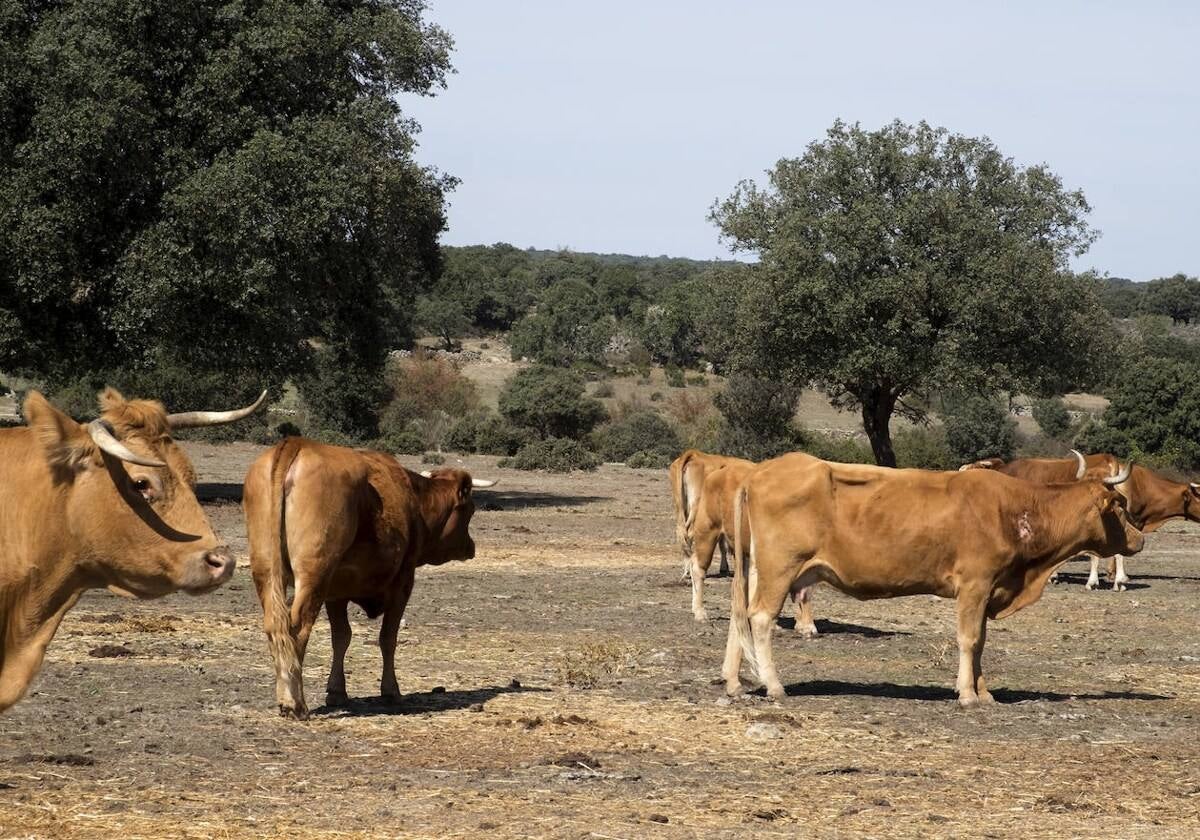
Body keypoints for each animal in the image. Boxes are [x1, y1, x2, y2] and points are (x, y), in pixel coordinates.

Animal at [243, 436, 496, 720]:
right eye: (470, 511)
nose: (471, 547)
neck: (414, 502)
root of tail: (298, 443)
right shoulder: (403, 582)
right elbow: (388, 638)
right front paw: (391, 691)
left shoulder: (336, 591)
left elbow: (341, 637)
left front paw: (337, 691)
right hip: (314, 575)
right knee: (297, 627)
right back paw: (294, 702)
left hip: (268, 572)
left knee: (275, 625)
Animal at [720, 456, 1142, 705]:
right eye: (1120, 506)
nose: (1140, 538)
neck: (1014, 511)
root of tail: (760, 472)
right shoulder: (974, 584)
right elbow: (969, 640)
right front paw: (968, 694)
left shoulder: (988, 589)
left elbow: (981, 642)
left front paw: (984, 692)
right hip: (781, 568)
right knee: (760, 619)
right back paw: (774, 685)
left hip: (759, 568)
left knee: (741, 617)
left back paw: (735, 681)